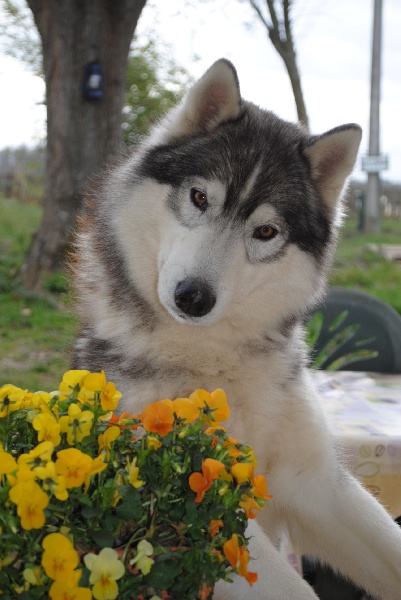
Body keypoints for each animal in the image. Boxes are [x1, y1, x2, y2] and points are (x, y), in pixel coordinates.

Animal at [72, 62, 400, 600]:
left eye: (265, 232)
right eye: (199, 197)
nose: (192, 297)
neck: (216, 362)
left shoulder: (315, 483)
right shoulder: (201, 513)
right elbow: (296, 589)